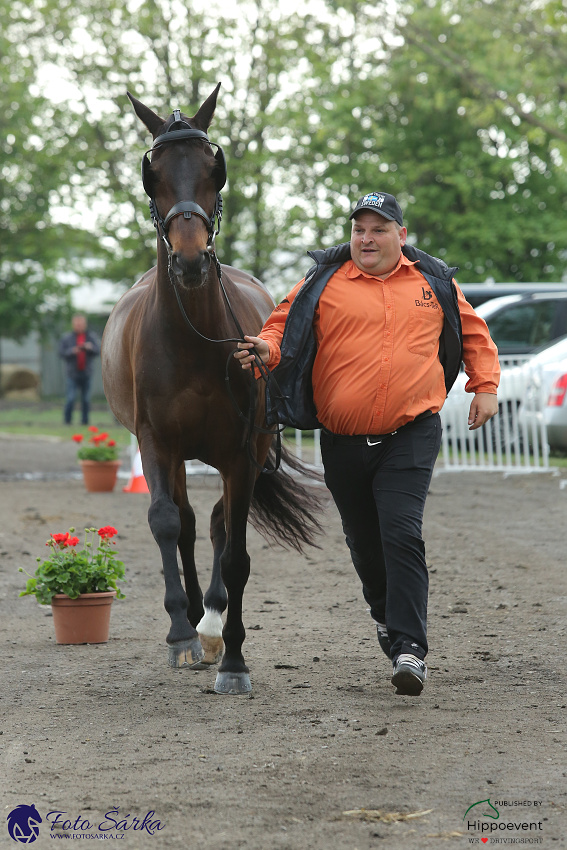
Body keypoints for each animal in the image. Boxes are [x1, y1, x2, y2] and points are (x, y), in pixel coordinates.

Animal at [102, 83, 322, 692]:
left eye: (212, 169)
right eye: (152, 174)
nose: (191, 259)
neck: (192, 342)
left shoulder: (242, 451)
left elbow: (238, 552)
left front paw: (234, 658)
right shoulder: (155, 443)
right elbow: (165, 522)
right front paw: (180, 633)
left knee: (222, 521)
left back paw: (214, 620)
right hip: (179, 455)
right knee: (187, 522)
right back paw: (195, 621)